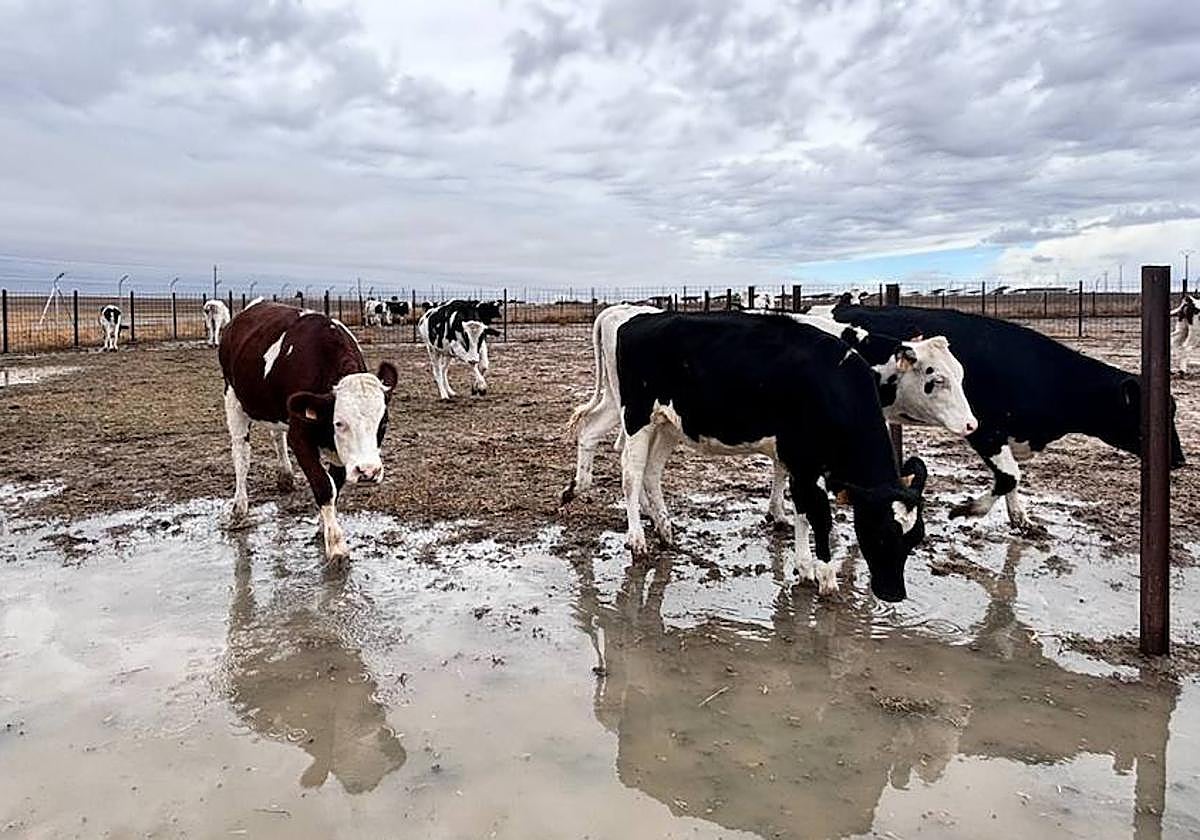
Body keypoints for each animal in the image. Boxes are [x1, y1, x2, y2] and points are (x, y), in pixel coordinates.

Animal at [218, 299, 399, 563]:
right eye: (339, 423)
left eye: (383, 423)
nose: (368, 471)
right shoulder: (300, 436)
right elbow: (323, 485)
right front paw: (336, 544)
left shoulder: (339, 452)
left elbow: (335, 484)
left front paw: (323, 526)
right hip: (233, 396)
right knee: (241, 454)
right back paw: (239, 508)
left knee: (276, 435)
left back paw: (285, 476)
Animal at [563, 305, 974, 527]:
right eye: (935, 379)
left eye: (961, 373)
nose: (972, 424)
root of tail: (622, 312)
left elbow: (779, 468)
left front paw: (777, 512)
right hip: (633, 409)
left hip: (623, 404)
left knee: (592, 431)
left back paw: (579, 489)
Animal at [830, 302, 1186, 530]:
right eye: (1145, 413)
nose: (1180, 459)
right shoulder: (984, 429)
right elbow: (1009, 476)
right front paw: (965, 510)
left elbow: (1012, 477)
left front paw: (1021, 520)